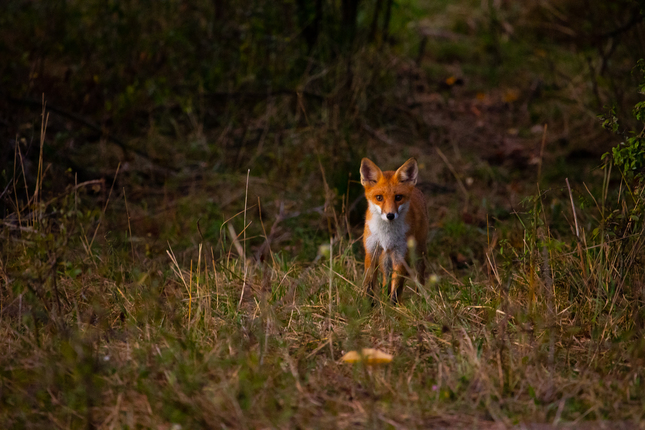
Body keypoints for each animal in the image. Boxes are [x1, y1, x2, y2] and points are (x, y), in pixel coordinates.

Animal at [358, 157, 428, 302]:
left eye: (398, 197)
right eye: (379, 197)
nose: (390, 215)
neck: (386, 235)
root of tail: (417, 190)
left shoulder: (400, 255)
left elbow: (396, 291)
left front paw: (393, 306)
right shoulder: (371, 251)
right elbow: (368, 286)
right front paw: (366, 304)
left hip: (418, 253)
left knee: (419, 278)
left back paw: (420, 301)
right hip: (385, 260)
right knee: (386, 281)